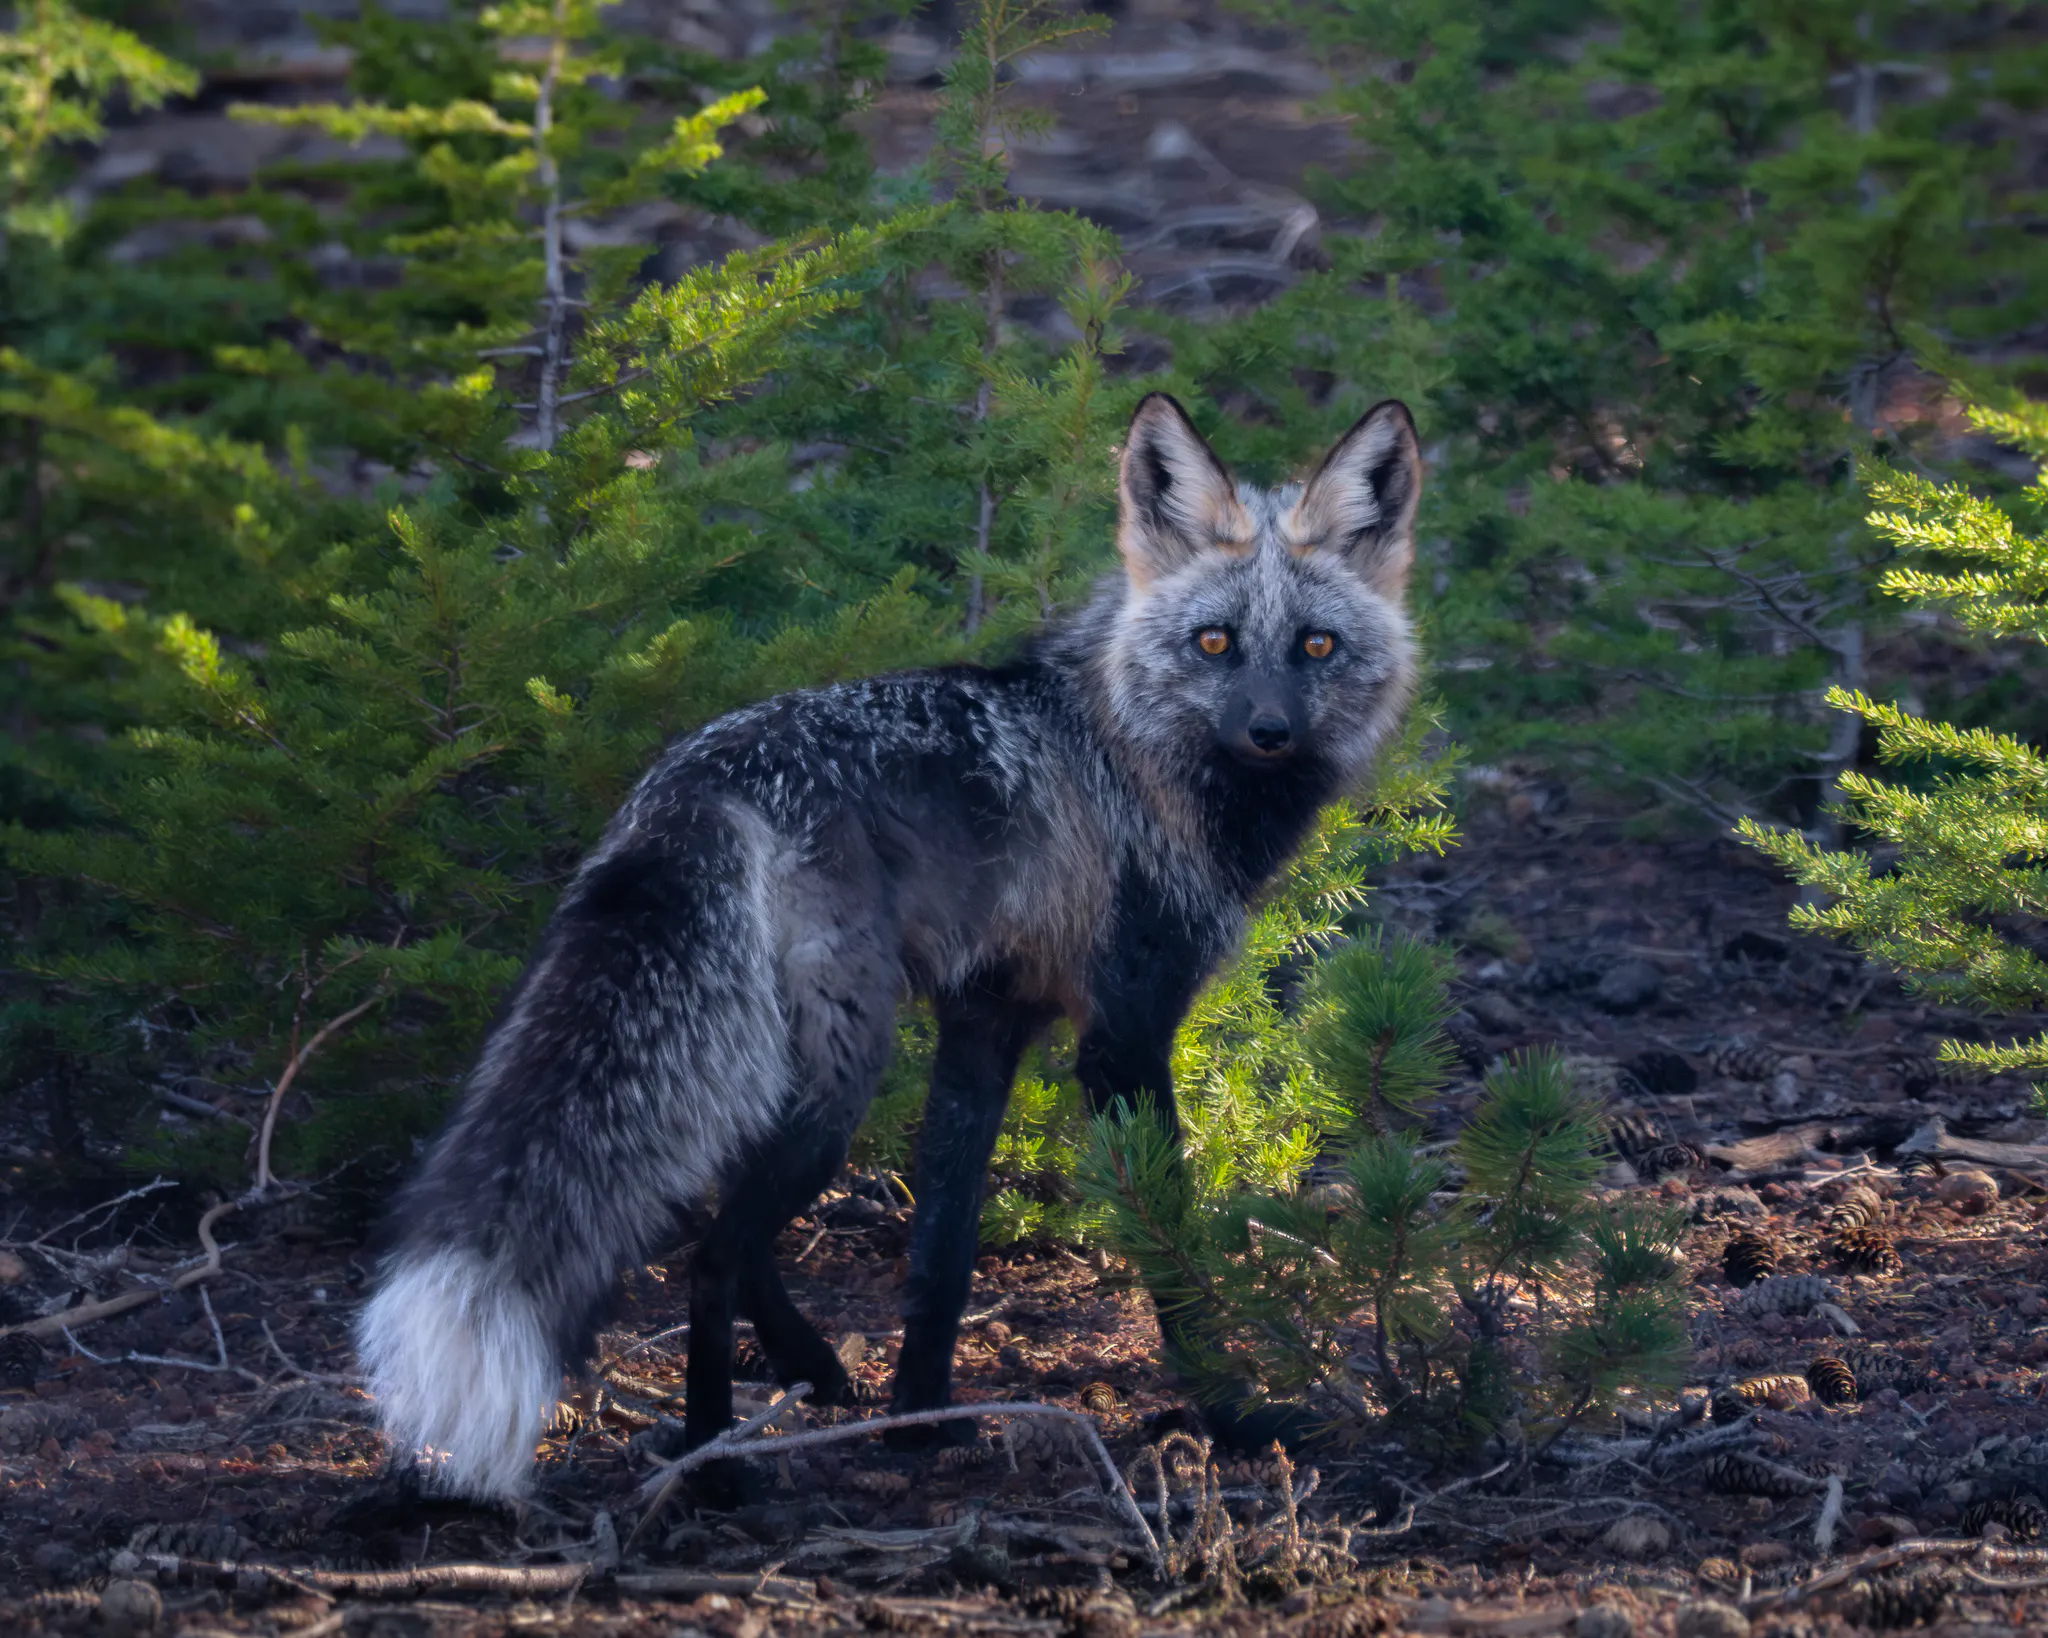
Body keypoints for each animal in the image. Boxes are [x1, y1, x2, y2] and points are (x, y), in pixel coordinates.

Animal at [356, 391, 1424, 1501]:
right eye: (1214, 643)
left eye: (1314, 648)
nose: (1268, 732)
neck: (1129, 751)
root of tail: (702, 777)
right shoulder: (1122, 1036)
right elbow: (1166, 1250)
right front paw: (1232, 1415)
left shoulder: (986, 1018)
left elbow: (940, 1249)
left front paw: (919, 1415)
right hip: (842, 1070)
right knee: (711, 1256)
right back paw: (711, 1458)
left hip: (786, 1059)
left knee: (720, 1224)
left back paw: (812, 1371)